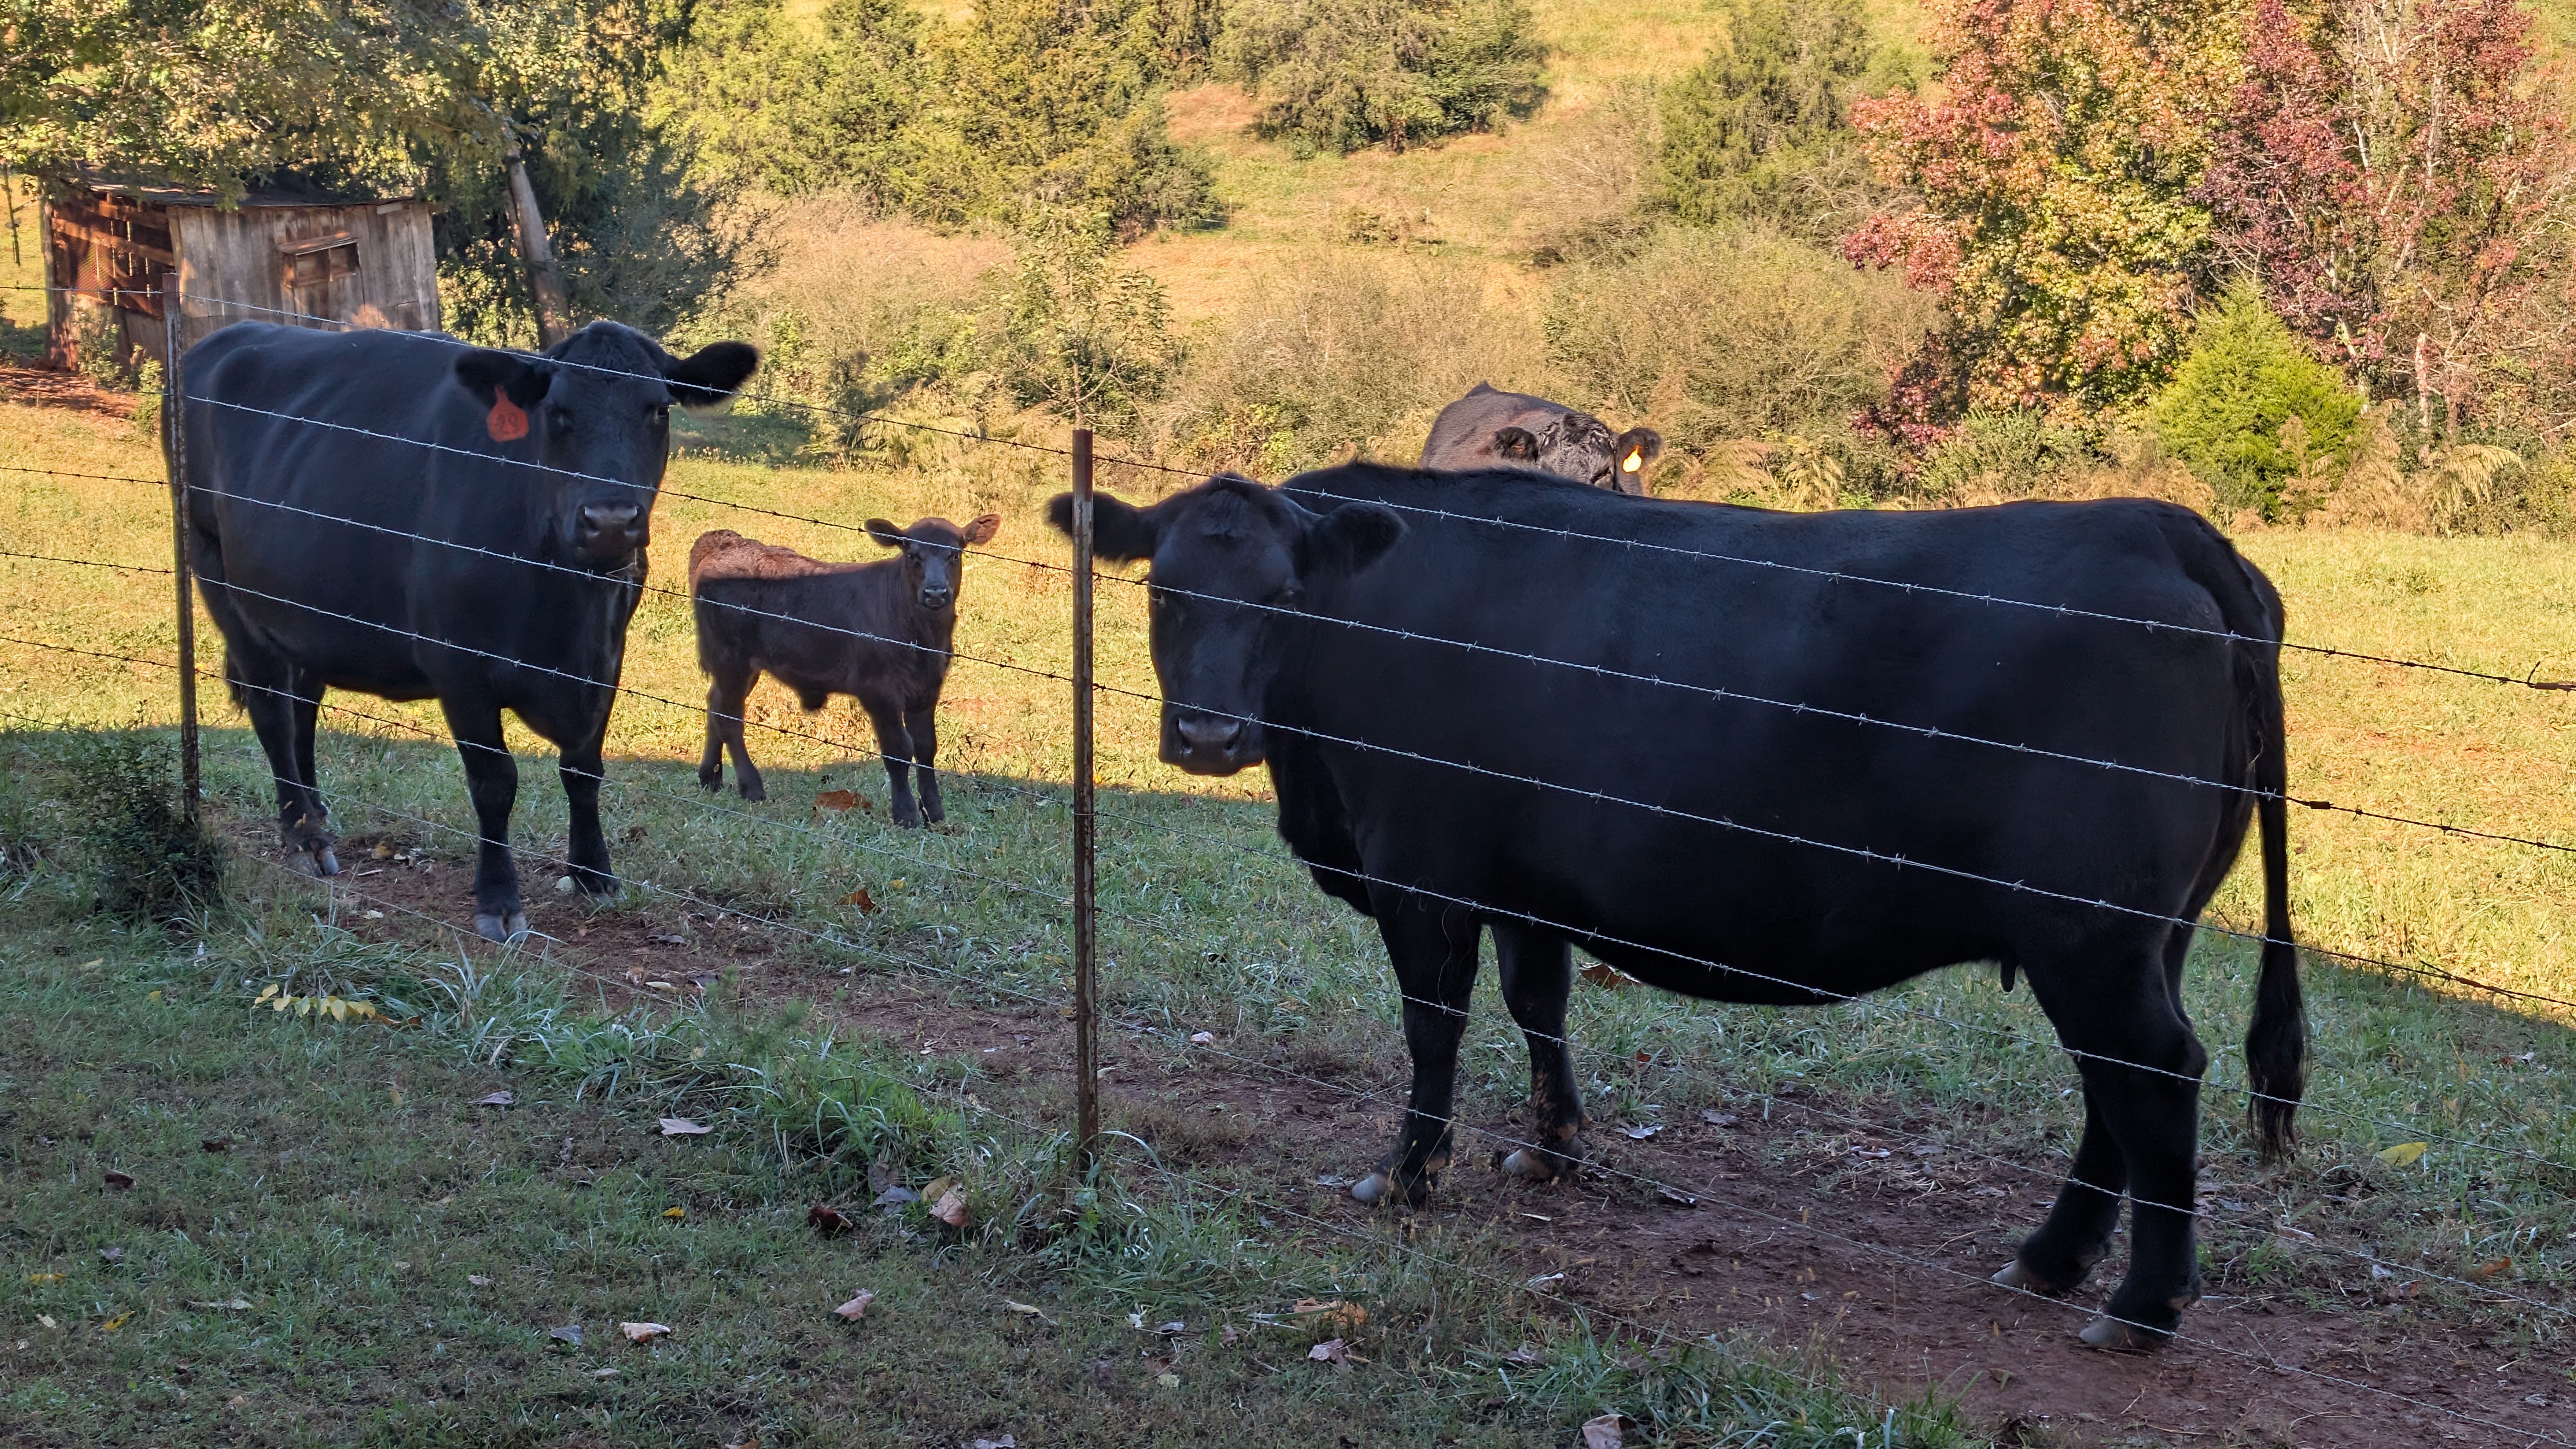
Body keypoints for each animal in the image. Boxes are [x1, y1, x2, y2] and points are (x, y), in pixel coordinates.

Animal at [176, 319, 759, 942]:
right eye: (557, 411)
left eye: (658, 410)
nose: (609, 522)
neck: (565, 609)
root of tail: (230, 333)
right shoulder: (458, 665)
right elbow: (495, 782)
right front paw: (499, 898)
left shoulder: (607, 658)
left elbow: (584, 770)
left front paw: (593, 874)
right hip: (221, 582)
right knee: (271, 712)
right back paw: (303, 838)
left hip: (307, 613)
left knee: (301, 709)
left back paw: (317, 814)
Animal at [690, 515, 1001, 828]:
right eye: (912, 555)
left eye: (955, 554)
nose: (935, 592)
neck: (921, 637)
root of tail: (727, 543)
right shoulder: (878, 690)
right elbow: (899, 749)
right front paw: (906, 815)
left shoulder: (927, 689)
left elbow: (926, 747)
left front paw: (935, 814)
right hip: (731, 658)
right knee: (729, 718)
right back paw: (751, 787)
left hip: (743, 666)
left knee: (715, 705)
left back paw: (710, 778)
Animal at [1047, 464, 2305, 1352]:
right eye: (1162, 590)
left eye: (1283, 597)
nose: (1208, 734)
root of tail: (2151, 522)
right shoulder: (1524, 883)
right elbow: (1539, 1002)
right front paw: (1550, 1149)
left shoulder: (1422, 871)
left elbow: (1434, 1029)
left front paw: (1404, 1176)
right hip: (2134, 935)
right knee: (2114, 1093)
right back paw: (2050, 1257)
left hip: (2087, 931)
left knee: (2151, 1075)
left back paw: (2140, 1306)